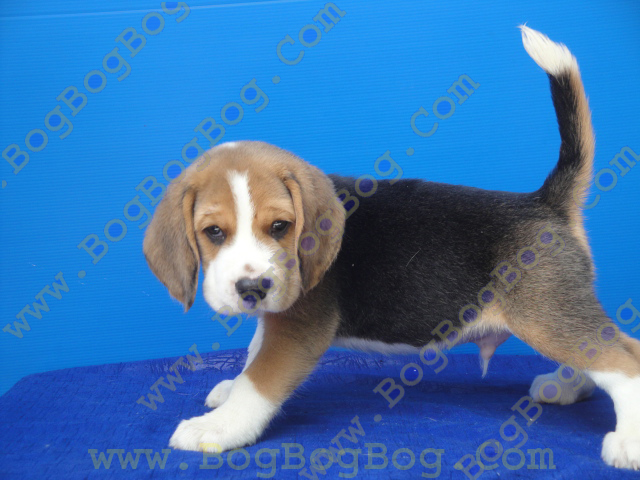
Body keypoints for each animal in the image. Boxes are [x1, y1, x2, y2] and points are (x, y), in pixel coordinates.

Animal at [143, 26, 640, 470]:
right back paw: (567, 387)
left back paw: (628, 442)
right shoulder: (277, 315)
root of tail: (545, 201)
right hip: (559, 312)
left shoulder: (298, 327)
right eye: (213, 233)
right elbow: (253, 352)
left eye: (280, 226)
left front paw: (217, 427)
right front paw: (229, 389)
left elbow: (260, 379)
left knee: (622, 358)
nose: (251, 289)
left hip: (545, 313)